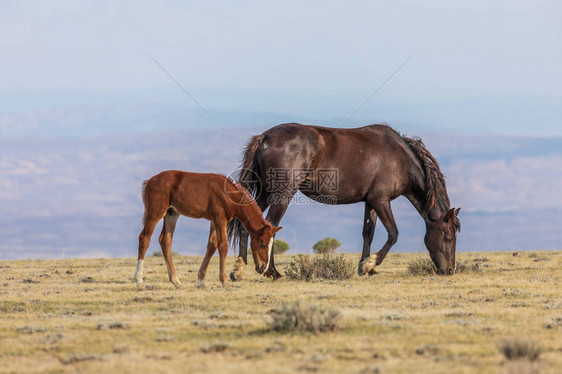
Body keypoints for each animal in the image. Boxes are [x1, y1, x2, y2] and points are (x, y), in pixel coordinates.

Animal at [132, 169, 280, 290]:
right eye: (263, 244)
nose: (263, 268)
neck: (228, 193)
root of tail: (150, 181)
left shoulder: (214, 221)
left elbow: (212, 246)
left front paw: (201, 281)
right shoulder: (220, 219)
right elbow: (223, 246)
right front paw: (224, 282)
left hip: (171, 214)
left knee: (165, 241)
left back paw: (176, 282)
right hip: (156, 212)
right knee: (144, 238)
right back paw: (140, 282)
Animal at [228, 123, 460, 280]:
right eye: (448, 237)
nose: (449, 271)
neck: (400, 158)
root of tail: (265, 137)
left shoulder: (371, 202)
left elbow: (368, 233)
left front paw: (366, 267)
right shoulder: (381, 200)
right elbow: (393, 234)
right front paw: (369, 264)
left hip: (265, 193)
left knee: (245, 223)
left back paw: (239, 268)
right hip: (281, 195)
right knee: (271, 225)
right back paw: (272, 271)